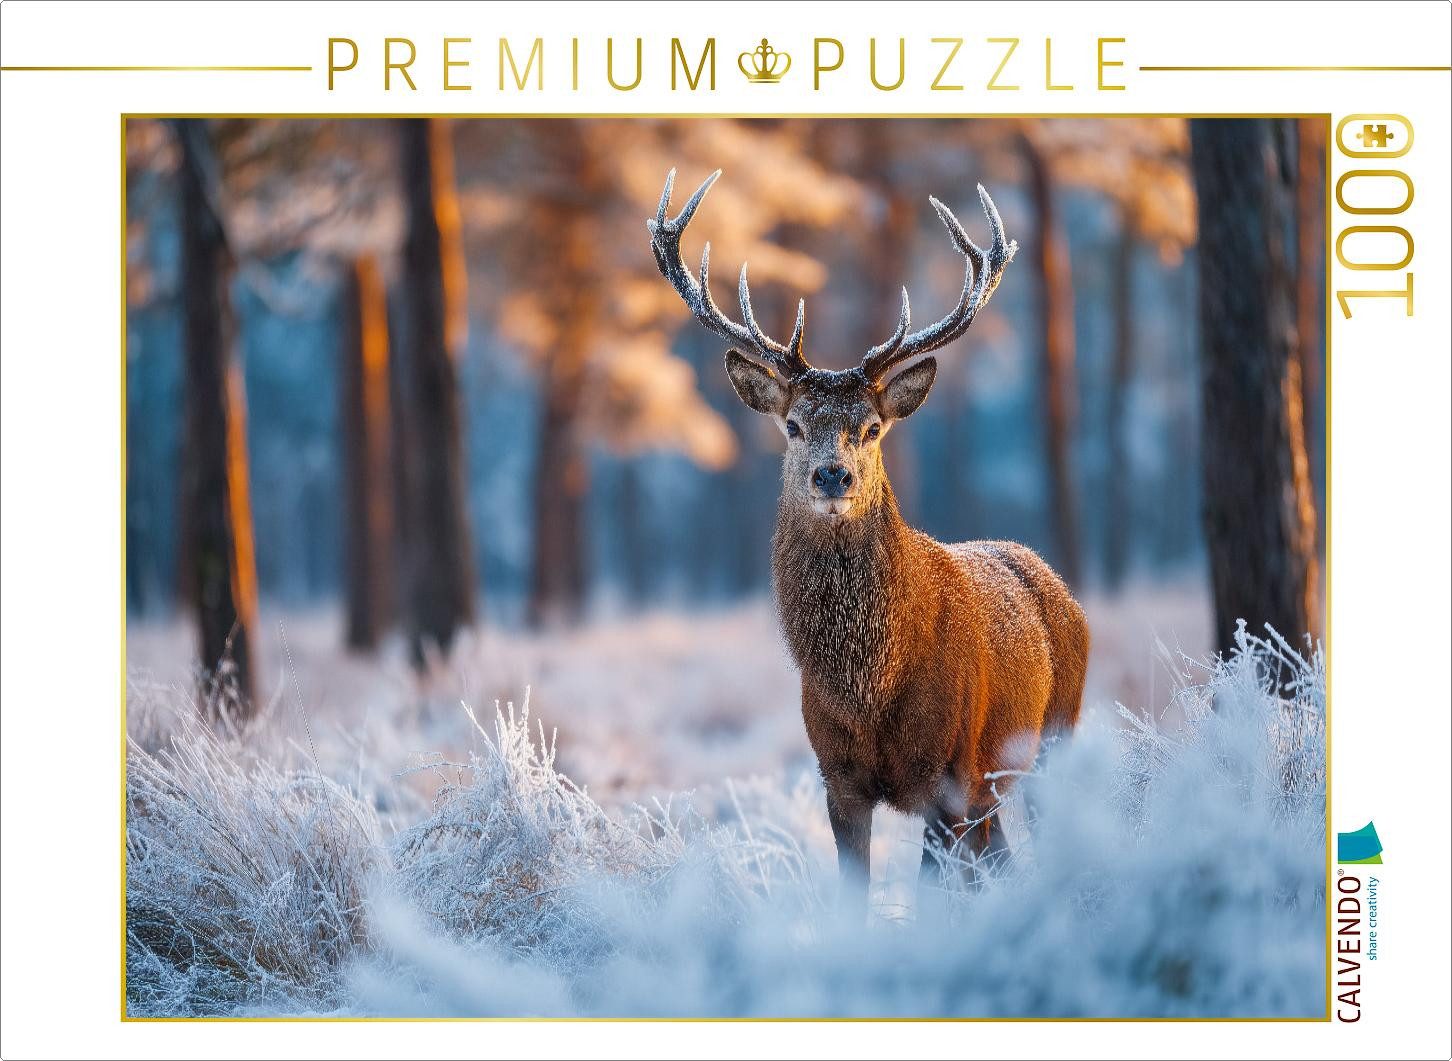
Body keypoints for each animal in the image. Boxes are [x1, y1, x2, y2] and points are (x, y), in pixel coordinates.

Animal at [647, 169, 1090, 911]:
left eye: (873, 427)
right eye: (794, 424)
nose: (833, 474)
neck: (870, 691)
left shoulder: (949, 773)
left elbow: (932, 893)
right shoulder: (837, 777)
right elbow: (854, 891)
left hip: (1056, 732)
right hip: (996, 785)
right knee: (998, 858)